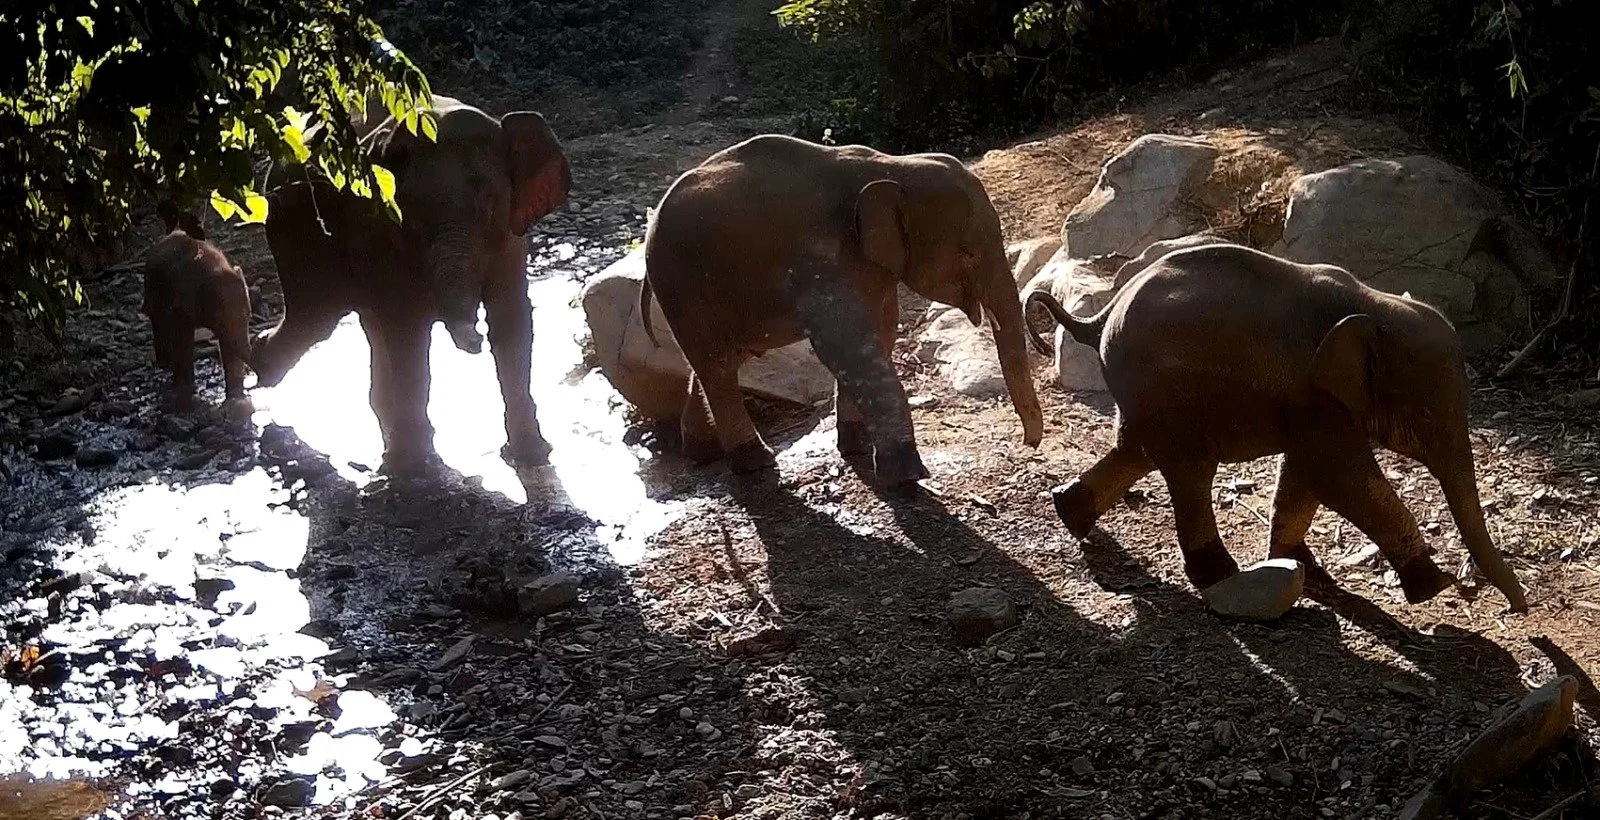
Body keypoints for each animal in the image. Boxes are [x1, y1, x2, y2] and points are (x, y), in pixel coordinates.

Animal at [141, 230, 252, 417]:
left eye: (248, 314)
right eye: (218, 317)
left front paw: (237, 401)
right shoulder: (180, 303)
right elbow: (182, 338)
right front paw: (186, 389)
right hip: (153, 291)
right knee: (159, 322)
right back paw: (166, 365)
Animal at [253, 98, 571, 471]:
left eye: (489, 207)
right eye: (412, 216)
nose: (475, 339)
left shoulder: (510, 238)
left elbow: (511, 318)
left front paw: (533, 455)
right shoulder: (375, 225)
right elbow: (409, 329)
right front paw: (419, 466)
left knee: (360, 321)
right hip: (293, 227)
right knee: (319, 319)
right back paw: (260, 367)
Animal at [640, 134, 1044, 484]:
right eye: (968, 254)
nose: (1029, 445)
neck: (892, 166)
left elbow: (878, 334)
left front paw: (858, 448)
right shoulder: (820, 255)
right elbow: (847, 345)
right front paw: (906, 477)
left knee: (719, 362)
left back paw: (702, 452)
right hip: (680, 283)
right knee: (718, 366)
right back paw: (754, 463)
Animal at [1027, 243, 1527, 612]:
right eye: (1424, 416)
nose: (1518, 609)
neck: (1373, 305)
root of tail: (1103, 314)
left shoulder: (1311, 405)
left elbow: (1305, 476)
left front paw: (1305, 568)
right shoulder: (1315, 396)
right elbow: (1342, 479)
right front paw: (1432, 584)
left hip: (1145, 394)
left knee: (1137, 453)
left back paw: (1068, 512)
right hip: (1161, 392)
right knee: (1189, 470)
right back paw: (1220, 574)